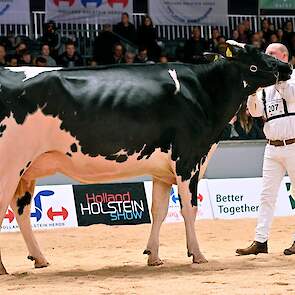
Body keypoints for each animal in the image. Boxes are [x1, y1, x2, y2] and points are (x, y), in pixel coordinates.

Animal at [0, 40, 292, 274]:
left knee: (21, 211)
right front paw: (197, 254)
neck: (204, 91)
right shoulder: (188, 159)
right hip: (11, 166)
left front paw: (153, 256)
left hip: (26, 171)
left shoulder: (162, 169)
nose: (287, 68)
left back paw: (39, 259)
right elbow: (189, 209)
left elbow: (159, 211)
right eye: (254, 53)